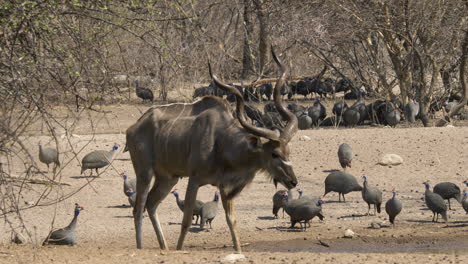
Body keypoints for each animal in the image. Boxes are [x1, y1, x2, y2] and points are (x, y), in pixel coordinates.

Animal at [126, 48, 298, 253]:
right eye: (274, 154)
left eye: (288, 152)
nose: (293, 181)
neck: (222, 142)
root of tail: (132, 128)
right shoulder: (194, 180)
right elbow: (185, 222)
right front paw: (179, 249)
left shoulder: (225, 187)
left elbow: (232, 221)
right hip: (145, 172)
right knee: (139, 208)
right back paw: (140, 248)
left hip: (168, 178)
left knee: (151, 204)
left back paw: (164, 247)